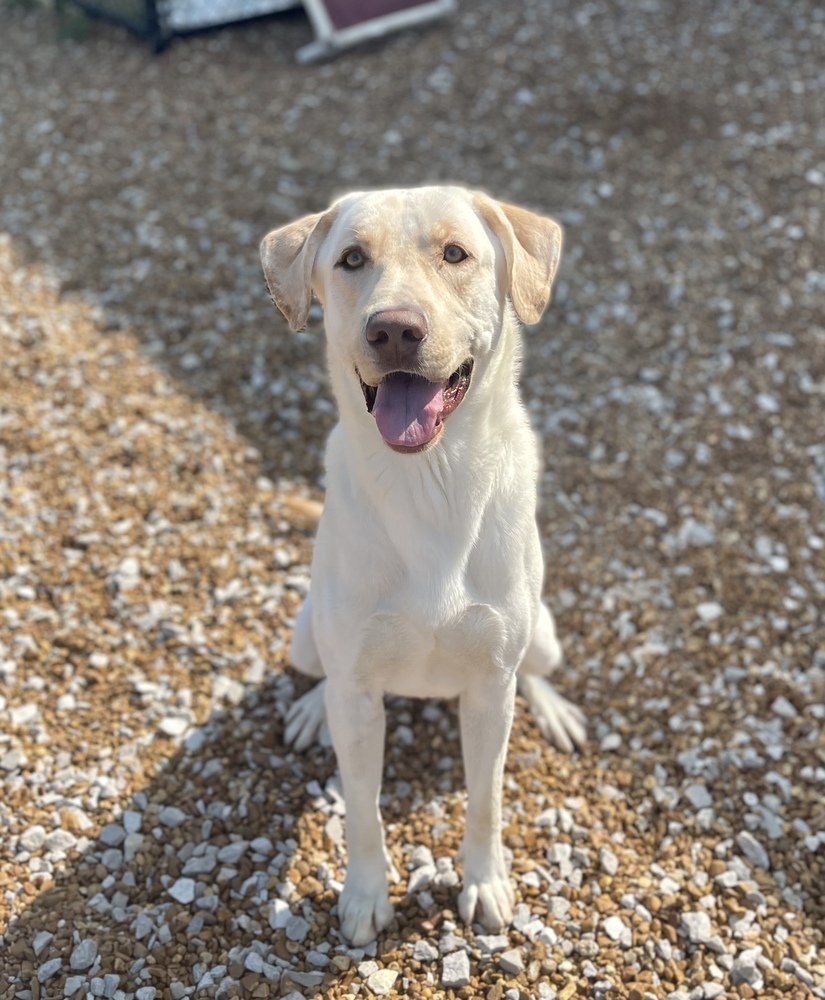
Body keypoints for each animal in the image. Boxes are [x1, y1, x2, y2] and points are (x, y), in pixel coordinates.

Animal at [260, 188, 584, 944]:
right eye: (351, 259)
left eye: (455, 253)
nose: (394, 331)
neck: (428, 483)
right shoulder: (357, 691)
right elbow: (362, 809)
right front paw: (364, 896)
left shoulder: (490, 689)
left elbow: (486, 799)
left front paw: (485, 883)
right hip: (304, 634)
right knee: (321, 672)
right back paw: (312, 709)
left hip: (542, 634)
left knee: (535, 668)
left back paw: (553, 708)